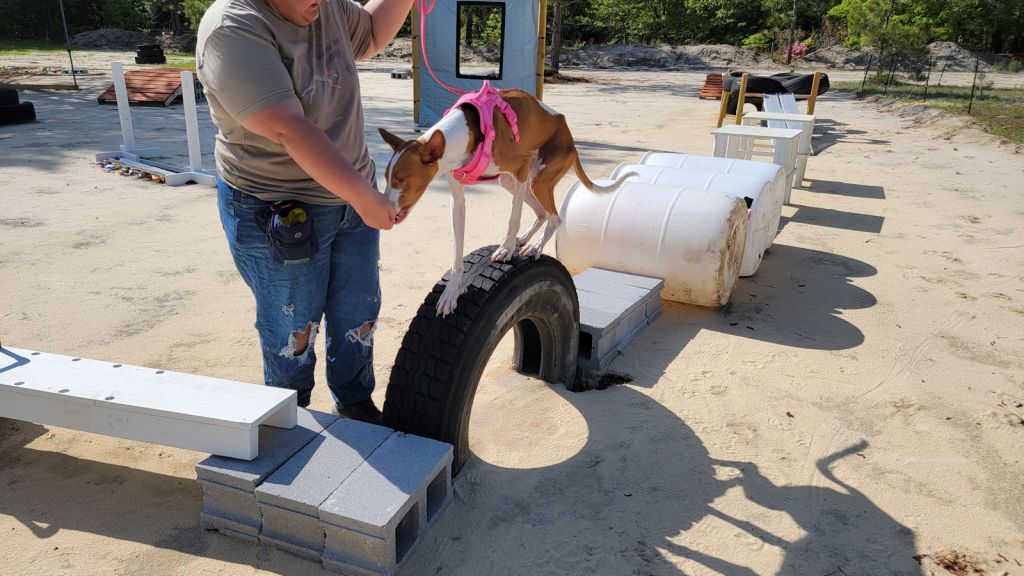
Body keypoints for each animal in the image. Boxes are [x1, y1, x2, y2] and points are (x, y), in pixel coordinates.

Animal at [379, 83, 636, 316]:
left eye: (401, 179)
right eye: (386, 177)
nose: (386, 211)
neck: (467, 132)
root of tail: (569, 136)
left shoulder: (521, 167)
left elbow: (514, 218)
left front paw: (506, 249)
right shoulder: (458, 201)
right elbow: (457, 250)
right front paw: (451, 292)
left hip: (537, 178)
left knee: (555, 217)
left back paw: (534, 247)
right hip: (511, 182)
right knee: (541, 213)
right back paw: (525, 240)